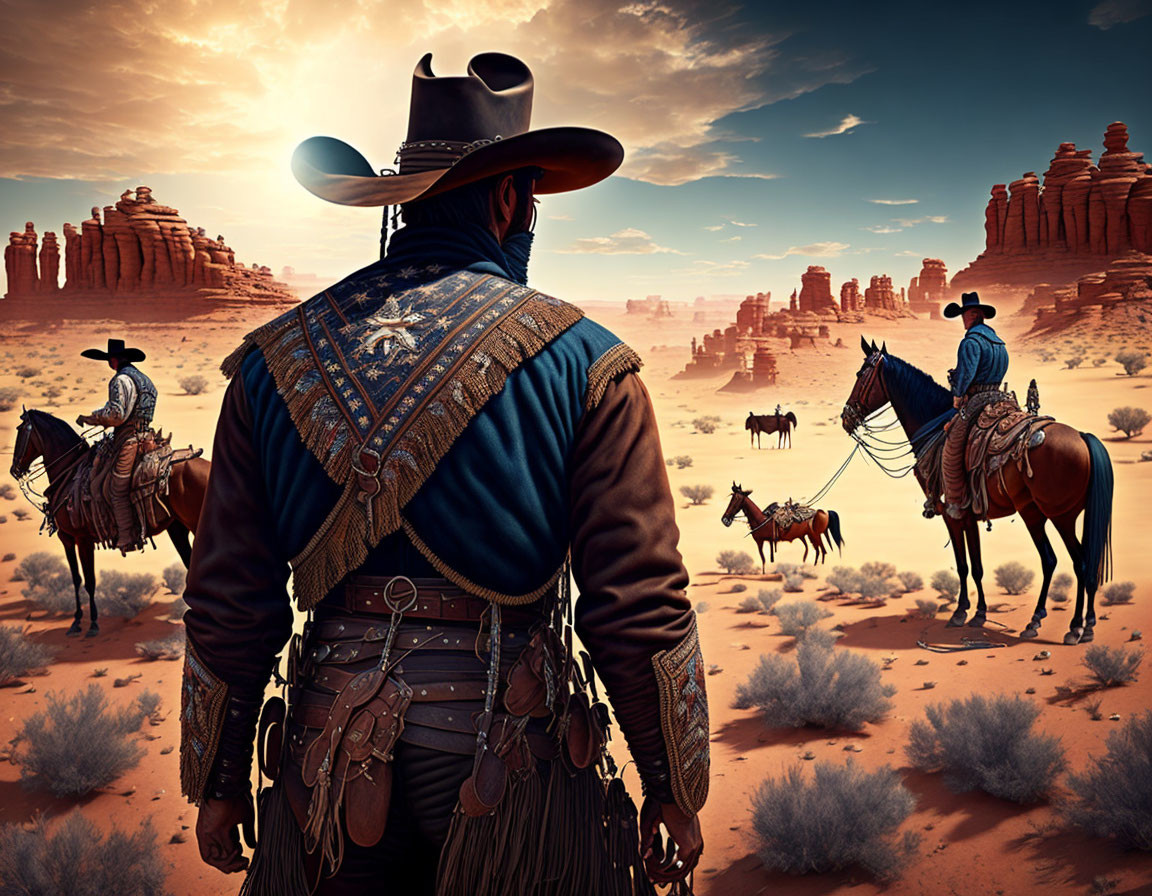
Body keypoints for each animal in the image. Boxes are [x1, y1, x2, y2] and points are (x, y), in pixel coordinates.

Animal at [10, 407, 209, 631]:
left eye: (20, 431)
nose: (14, 469)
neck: (69, 475)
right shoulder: (66, 538)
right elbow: (76, 578)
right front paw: (77, 620)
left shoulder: (82, 539)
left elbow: (89, 580)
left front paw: (93, 624)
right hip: (177, 527)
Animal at [714, 486, 843, 568]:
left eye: (736, 499)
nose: (724, 519)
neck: (761, 520)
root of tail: (823, 512)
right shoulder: (766, 542)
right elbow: (767, 559)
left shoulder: (760, 542)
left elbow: (764, 561)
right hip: (810, 536)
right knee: (818, 551)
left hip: (815, 535)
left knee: (822, 551)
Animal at [843, 336, 1110, 640]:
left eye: (860, 374)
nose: (845, 417)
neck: (934, 426)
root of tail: (1083, 437)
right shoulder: (969, 515)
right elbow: (977, 566)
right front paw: (979, 613)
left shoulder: (952, 513)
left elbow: (963, 566)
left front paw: (961, 612)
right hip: (1060, 514)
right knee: (1078, 561)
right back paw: (1084, 624)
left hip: (1052, 516)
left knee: (1070, 561)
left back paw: (1066, 625)